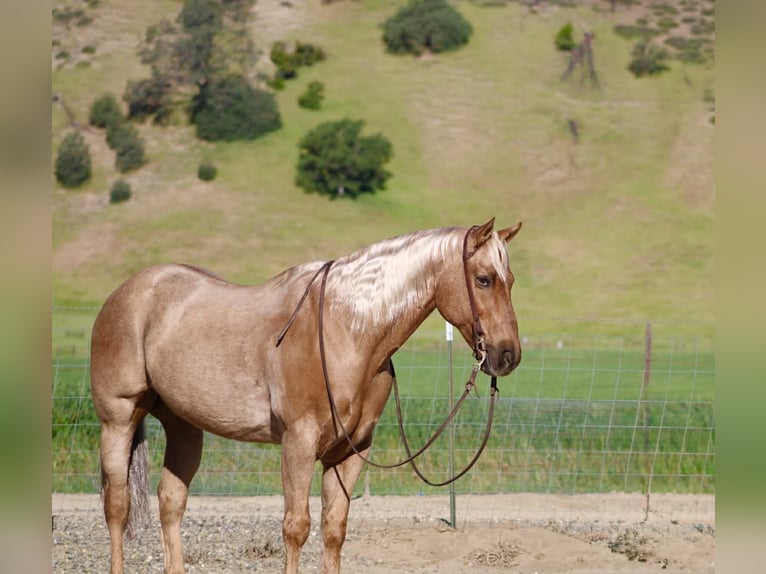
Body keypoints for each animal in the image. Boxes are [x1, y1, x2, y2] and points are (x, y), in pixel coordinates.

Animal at [90, 218, 523, 574]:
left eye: (511, 280)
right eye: (484, 279)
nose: (508, 355)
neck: (346, 330)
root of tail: (128, 291)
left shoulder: (351, 451)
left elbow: (334, 529)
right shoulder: (298, 443)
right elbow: (296, 528)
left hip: (184, 426)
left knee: (170, 501)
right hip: (118, 419)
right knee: (117, 505)